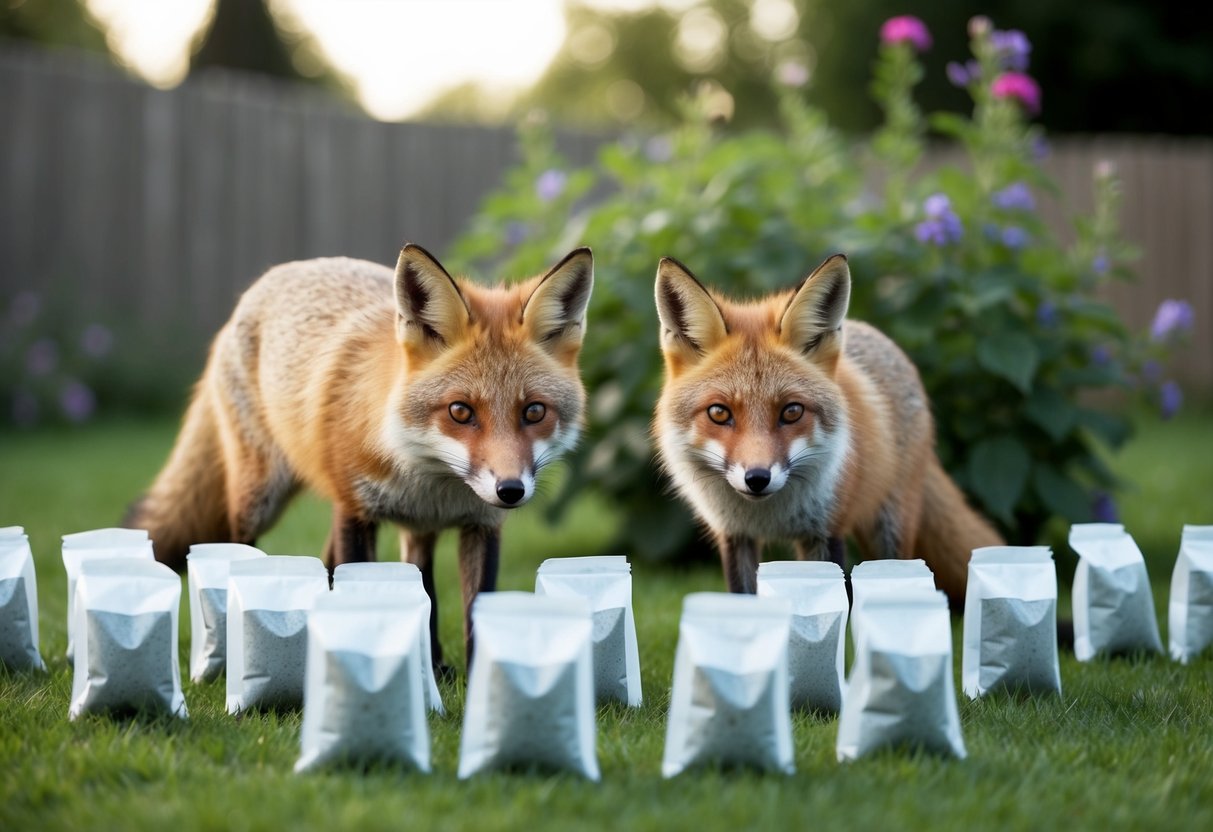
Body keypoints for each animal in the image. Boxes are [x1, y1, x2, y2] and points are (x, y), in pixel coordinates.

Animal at [126, 243, 594, 671]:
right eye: (460, 411)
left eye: (534, 412)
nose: (510, 490)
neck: (430, 481)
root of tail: (276, 275)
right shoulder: (355, 510)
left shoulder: (482, 525)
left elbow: (473, 612)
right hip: (259, 500)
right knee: (246, 554)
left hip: (411, 529)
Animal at [652, 253, 1002, 607]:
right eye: (719, 413)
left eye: (792, 411)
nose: (757, 479)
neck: (769, 516)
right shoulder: (735, 536)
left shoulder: (826, 531)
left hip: (889, 527)